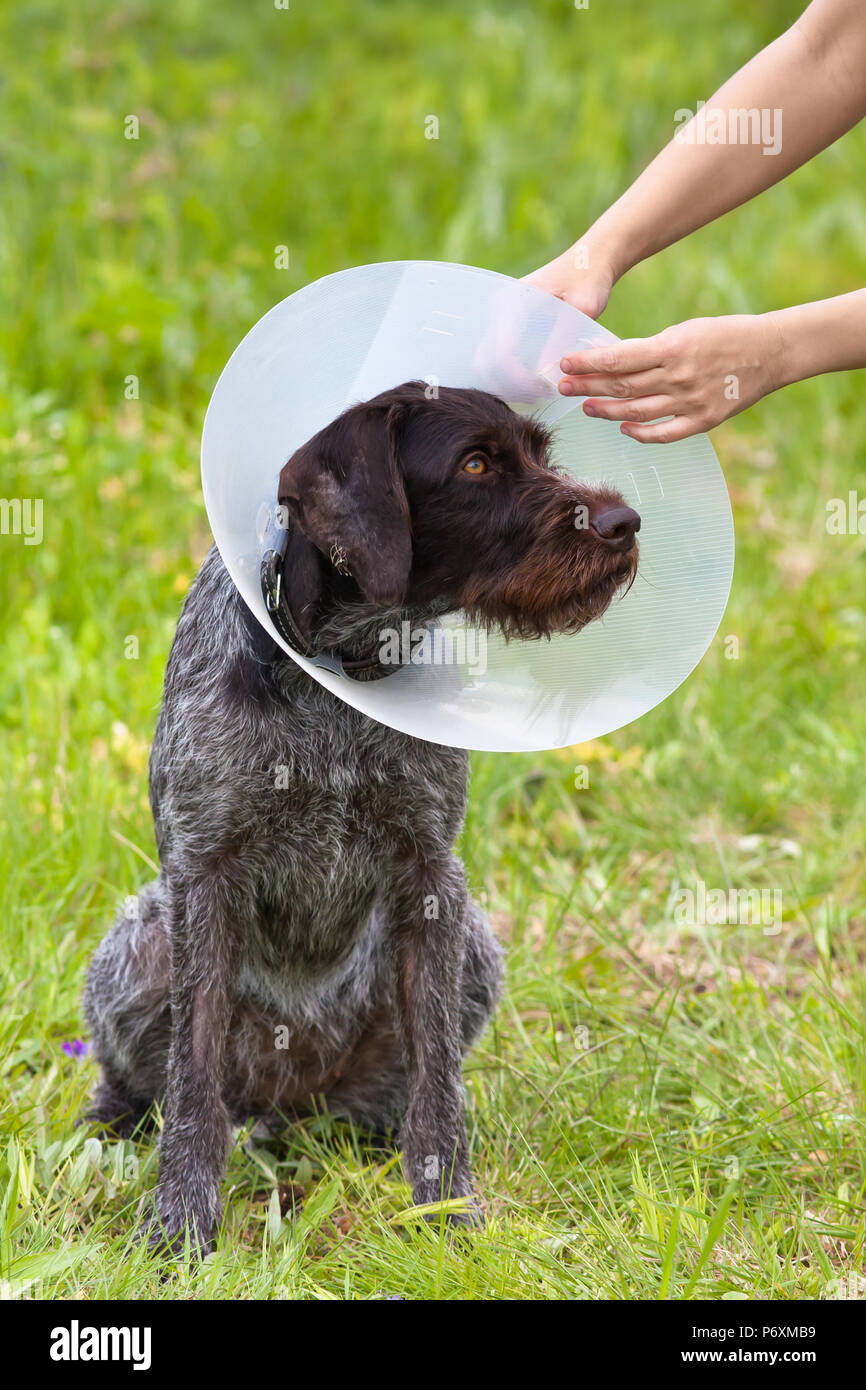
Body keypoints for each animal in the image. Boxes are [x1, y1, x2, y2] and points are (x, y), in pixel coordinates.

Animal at [84, 380, 639, 1251]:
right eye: (475, 464)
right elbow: (193, 1085)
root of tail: (286, 1102)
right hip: (139, 944)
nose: (623, 521)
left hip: (471, 947)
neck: (335, 674)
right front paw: (179, 1228)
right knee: (152, 1084)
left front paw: (446, 1213)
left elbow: (439, 1085)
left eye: (542, 455)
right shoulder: (204, 877)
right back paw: (114, 1119)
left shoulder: (431, 880)